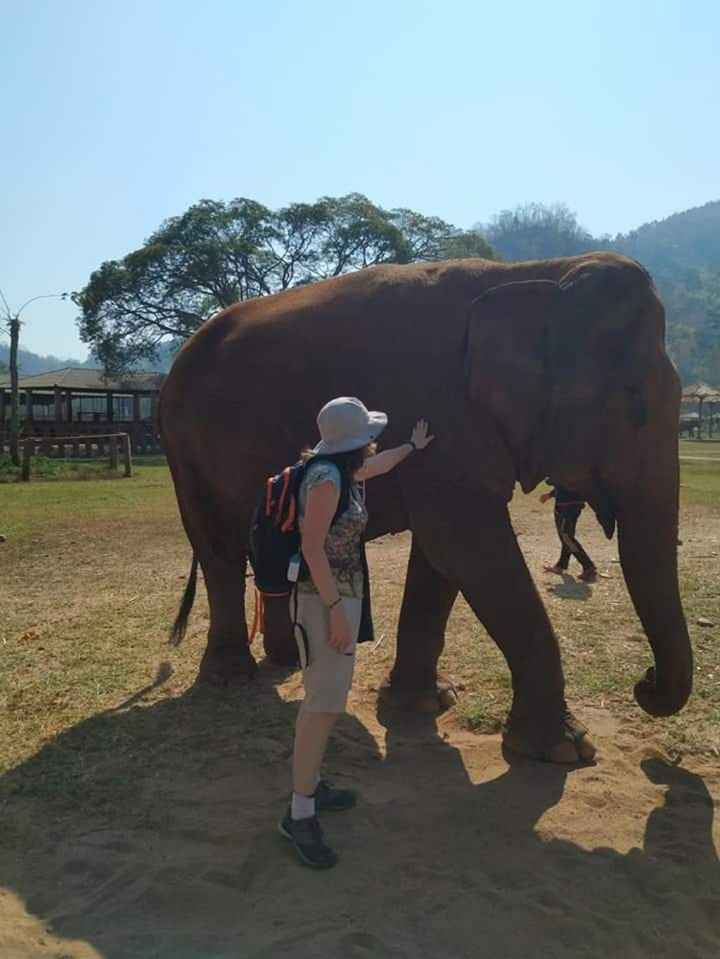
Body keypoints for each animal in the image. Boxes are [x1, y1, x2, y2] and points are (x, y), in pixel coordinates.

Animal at [162, 255, 692, 764]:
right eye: (636, 404)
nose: (645, 681)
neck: (536, 273)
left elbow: (441, 559)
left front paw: (424, 702)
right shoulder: (444, 409)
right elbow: (465, 546)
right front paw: (565, 750)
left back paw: (288, 660)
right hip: (182, 446)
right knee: (218, 547)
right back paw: (231, 677)